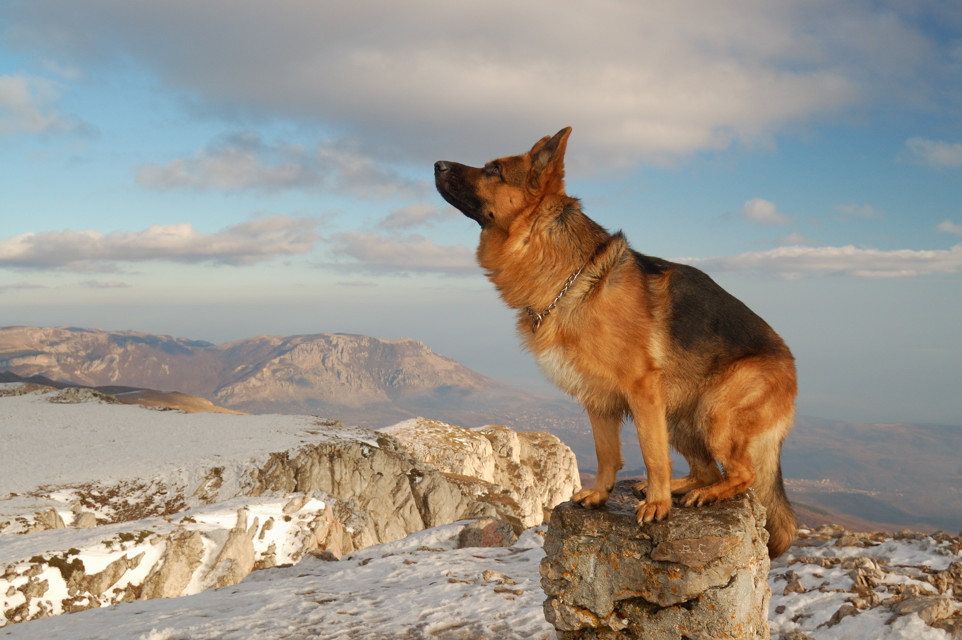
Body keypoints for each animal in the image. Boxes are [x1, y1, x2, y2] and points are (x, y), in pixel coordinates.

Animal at [434, 125, 796, 556]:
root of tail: (791, 366)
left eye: (494, 169)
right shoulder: (597, 398)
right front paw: (601, 494)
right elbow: (606, 453)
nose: (436, 163)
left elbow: (652, 454)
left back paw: (700, 494)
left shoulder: (641, 391)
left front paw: (658, 506)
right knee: (707, 469)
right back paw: (684, 488)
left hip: (713, 413)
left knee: (743, 474)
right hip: (679, 416)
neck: (570, 274)